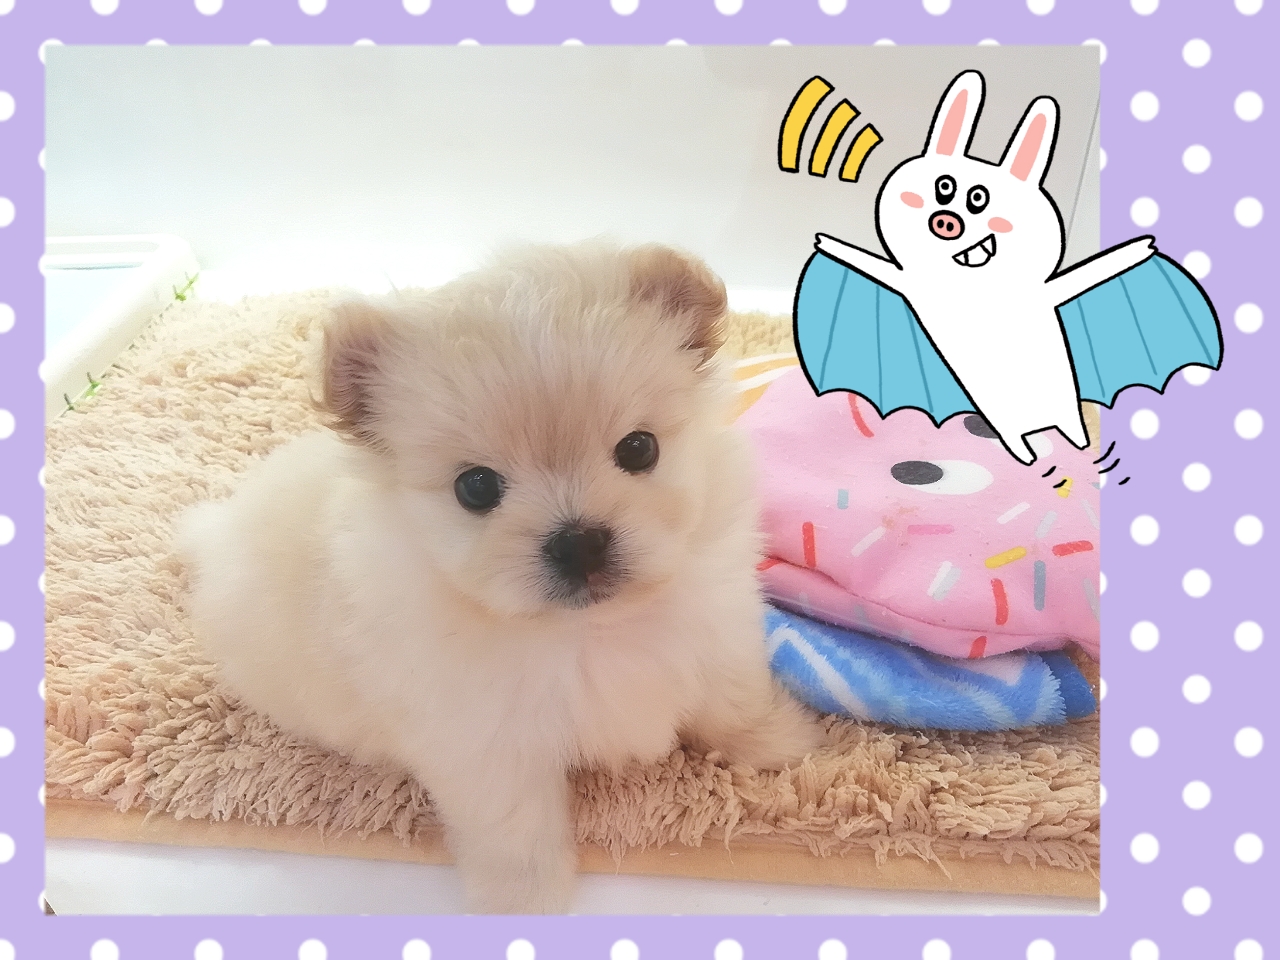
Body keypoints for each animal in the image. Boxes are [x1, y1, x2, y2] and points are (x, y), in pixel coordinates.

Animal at [175, 241, 823, 914]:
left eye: (639, 448)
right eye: (477, 487)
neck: (587, 629)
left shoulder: (716, 630)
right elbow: (516, 825)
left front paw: (782, 745)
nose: (578, 541)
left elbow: (732, 703)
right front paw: (525, 902)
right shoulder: (482, 738)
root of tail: (217, 531)